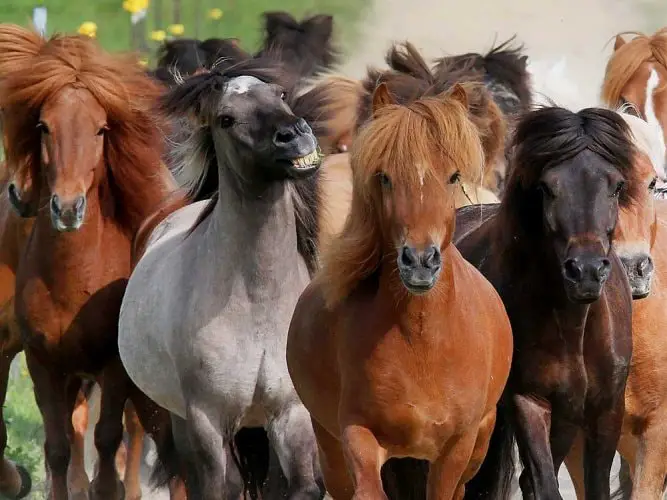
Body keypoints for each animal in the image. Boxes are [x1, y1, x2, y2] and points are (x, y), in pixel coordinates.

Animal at [0, 25, 187, 500]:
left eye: (102, 129)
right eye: (43, 126)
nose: (67, 207)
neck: (72, 281)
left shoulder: (114, 367)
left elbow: (107, 441)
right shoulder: (43, 362)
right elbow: (58, 447)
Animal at [118, 58, 327, 500]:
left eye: (280, 94)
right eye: (227, 119)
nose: (294, 135)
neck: (256, 303)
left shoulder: (290, 411)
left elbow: (301, 487)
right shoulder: (208, 419)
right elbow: (220, 488)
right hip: (182, 421)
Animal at [286, 80, 513, 499]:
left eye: (453, 177)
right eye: (384, 176)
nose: (420, 260)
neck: (421, 341)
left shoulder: (456, 449)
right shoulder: (357, 435)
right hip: (329, 446)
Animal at [452, 106, 638, 500]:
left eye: (616, 186)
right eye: (546, 187)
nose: (585, 271)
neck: (575, 327)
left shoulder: (605, 409)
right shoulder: (529, 402)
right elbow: (543, 483)